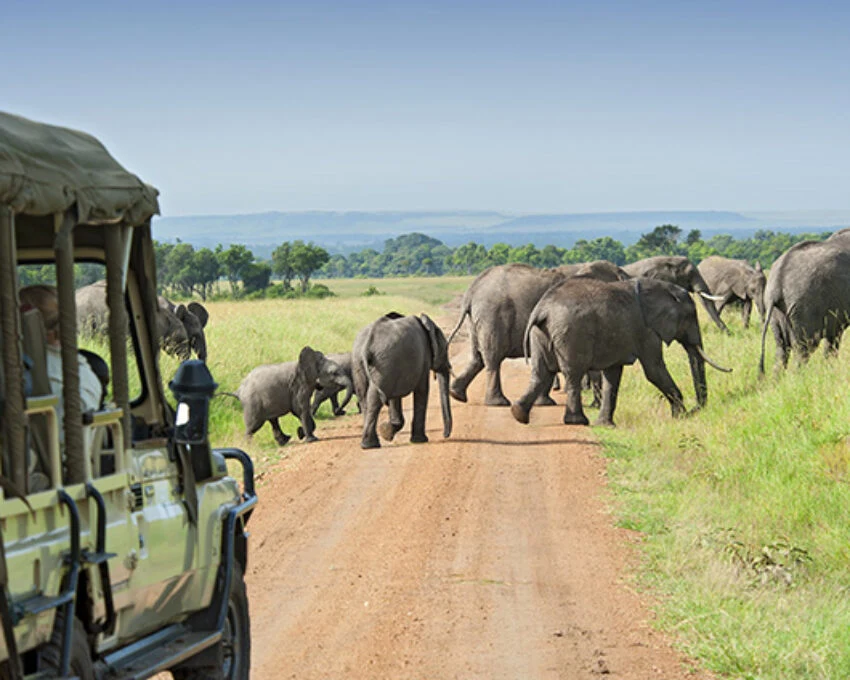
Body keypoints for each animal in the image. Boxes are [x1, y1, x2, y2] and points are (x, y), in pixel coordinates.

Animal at [352, 312, 452, 449]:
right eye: (445, 349)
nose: (445, 435)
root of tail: (367, 345)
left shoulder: (396, 368)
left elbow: (395, 397)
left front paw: (387, 432)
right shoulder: (422, 360)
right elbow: (422, 390)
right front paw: (419, 440)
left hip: (363, 363)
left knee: (364, 398)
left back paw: (368, 444)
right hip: (384, 362)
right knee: (375, 398)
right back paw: (371, 445)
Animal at [447, 260, 629, 406]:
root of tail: (471, 291)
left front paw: (545, 403)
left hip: (477, 320)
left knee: (478, 357)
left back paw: (456, 394)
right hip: (493, 316)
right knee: (493, 358)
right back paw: (498, 403)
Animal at [511, 277, 731, 428]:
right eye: (691, 316)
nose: (696, 410)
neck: (663, 289)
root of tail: (542, 309)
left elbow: (613, 375)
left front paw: (606, 425)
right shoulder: (646, 331)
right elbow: (654, 370)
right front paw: (680, 417)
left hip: (540, 334)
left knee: (541, 373)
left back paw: (518, 413)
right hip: (570, 333)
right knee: (573, 373)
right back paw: (578, 421)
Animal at [758, 239, 850, 373]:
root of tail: (777, 282)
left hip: (776, 310)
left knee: (782, 349)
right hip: (804, 307)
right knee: (805, 348)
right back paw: (800, 376)